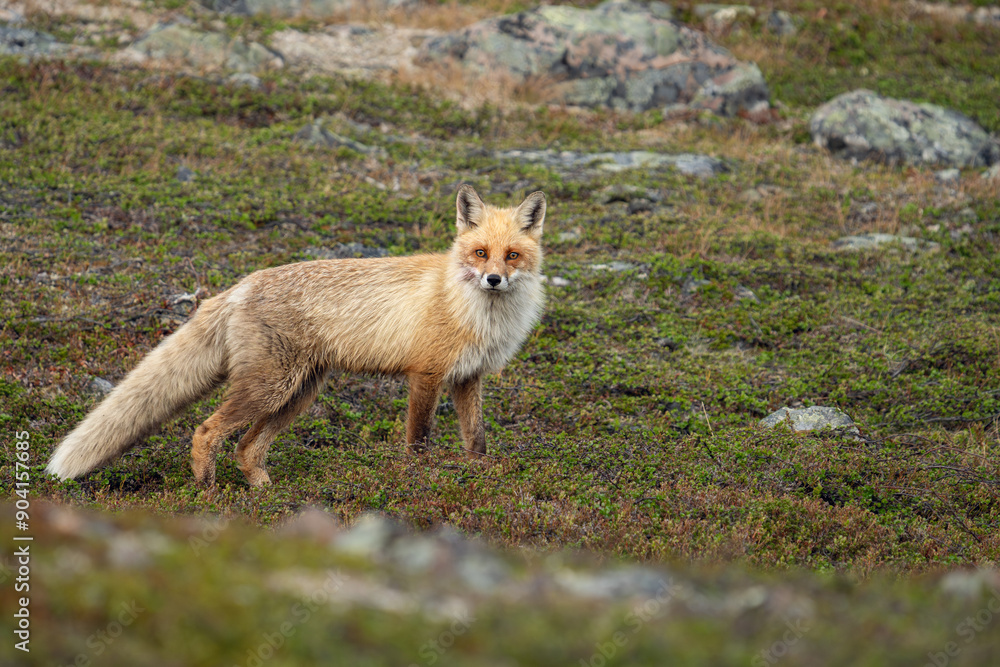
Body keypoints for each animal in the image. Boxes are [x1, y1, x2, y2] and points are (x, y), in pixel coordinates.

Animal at [45, 185, 546, 487]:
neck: (478, 315)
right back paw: (206, 492)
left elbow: (476, 441)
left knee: (246, 447)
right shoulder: (425, 374)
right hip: (272, 387)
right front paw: (418, 482)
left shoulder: (468, 378)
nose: (493, 280)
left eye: (512, 255)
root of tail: (241, 284)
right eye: (479, 253)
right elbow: (418, 441)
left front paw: (480, 479)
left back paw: (265, 495)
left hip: (298, 393)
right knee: (207, 430)